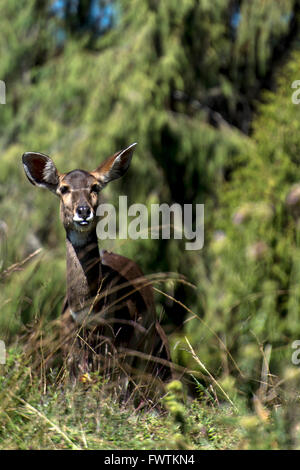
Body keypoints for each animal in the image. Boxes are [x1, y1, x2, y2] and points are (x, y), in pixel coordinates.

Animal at [22, 144, 171, 396]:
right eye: (63, 188)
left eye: (95, 187)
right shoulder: (70, 352)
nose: (83, 211)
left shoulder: (120, 352)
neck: (88, 317)